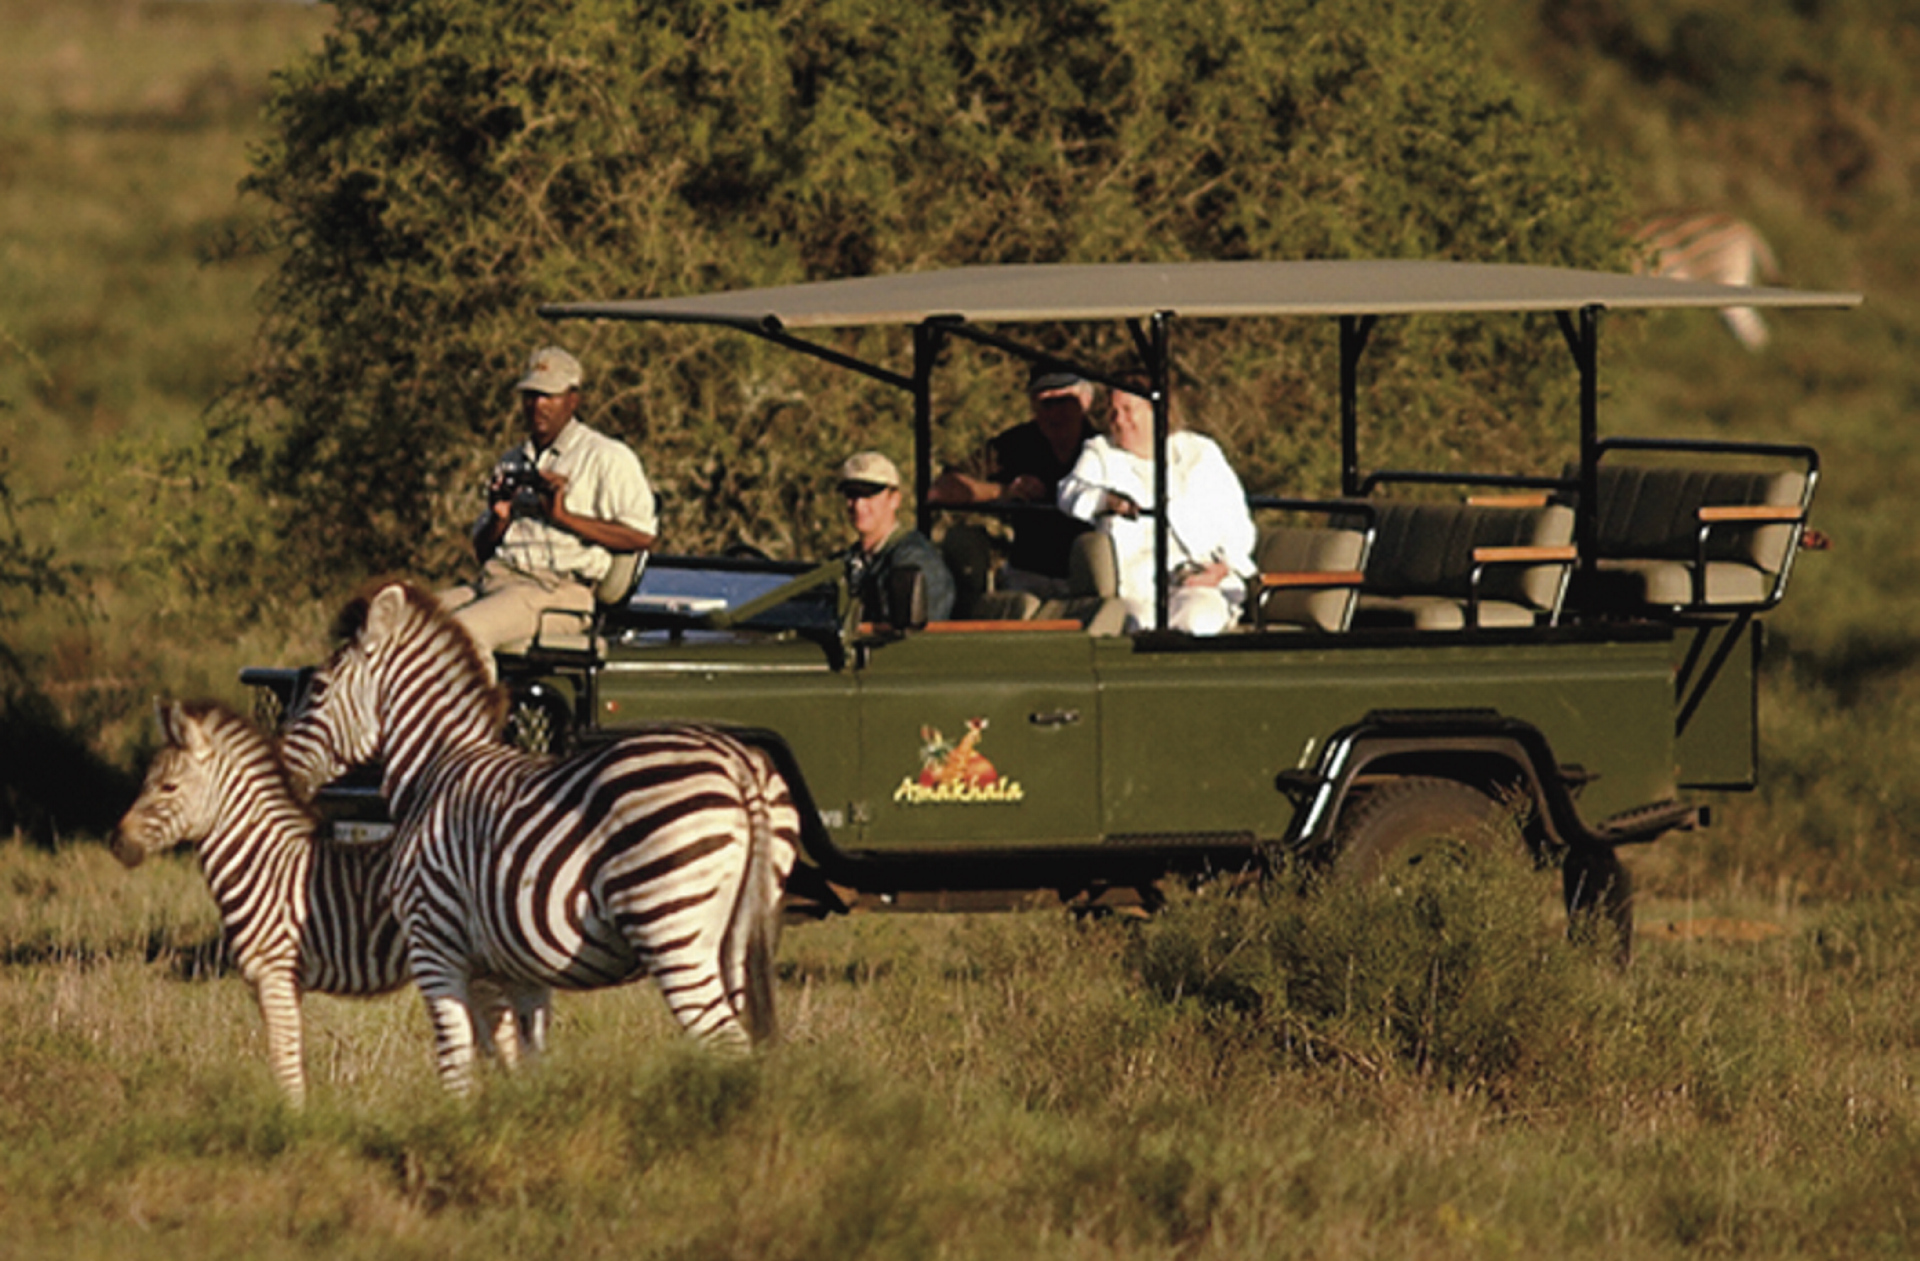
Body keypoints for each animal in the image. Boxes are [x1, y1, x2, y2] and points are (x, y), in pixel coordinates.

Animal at [278, 580, 800, 1095]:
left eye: (318, 688)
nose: (281, 770)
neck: (436, 767)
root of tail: (738, 764)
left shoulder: (435, 941)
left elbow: (455, 1062)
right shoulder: (516, 967)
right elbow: (521, 1059)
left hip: (669, 923)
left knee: (726, 1041)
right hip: (742, 931)